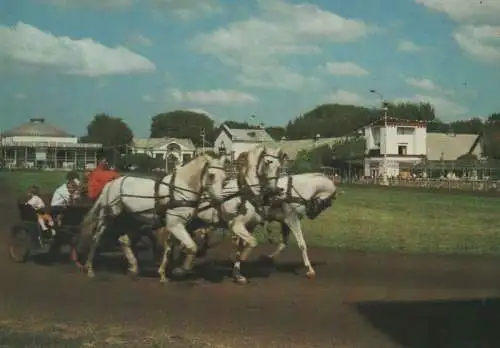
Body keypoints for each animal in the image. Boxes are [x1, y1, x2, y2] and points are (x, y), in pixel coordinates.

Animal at [77, 152, 229, 280]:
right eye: (211, 175)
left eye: (225, 178)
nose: (219, 200)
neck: (180, 189)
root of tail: (111, 183)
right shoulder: (175, 224)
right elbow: (192, 247)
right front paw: (180, 270)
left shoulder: (178, 224)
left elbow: (170, 248)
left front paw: (163, 273)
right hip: (109, 215)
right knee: (96, 238)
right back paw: (89, 268)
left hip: (133, 220)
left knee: (123, 240)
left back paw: (133, 267)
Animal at [156, 145, 286, 284]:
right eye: (267, 163)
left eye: (279, 166)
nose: (274, 190)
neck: (246, 192)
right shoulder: (237, 226)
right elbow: (252, 243)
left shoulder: (250, 227)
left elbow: (242, 247)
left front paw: (238, 275)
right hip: (178, 220)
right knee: (169, 242)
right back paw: (171, 269)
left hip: (188, 222)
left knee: (174, 242)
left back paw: (169, 269)